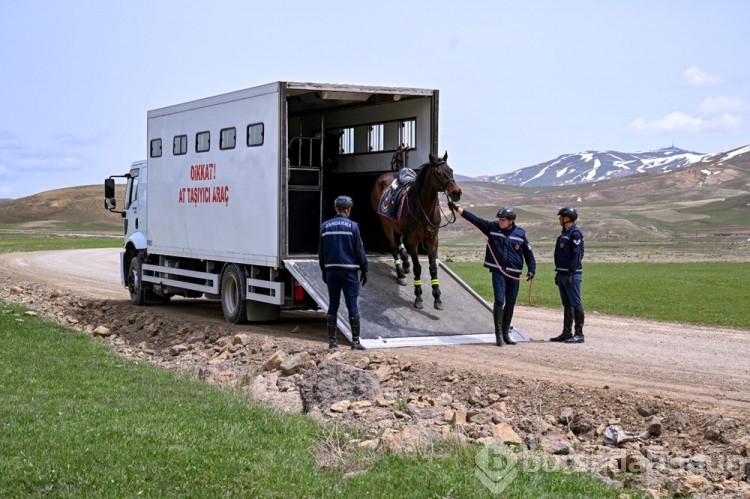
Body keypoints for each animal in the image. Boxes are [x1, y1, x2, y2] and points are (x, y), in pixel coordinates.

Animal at [372, 150, 462, 310]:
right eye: (439, 173)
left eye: (451, 170)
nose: (456, 192)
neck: (423, 208)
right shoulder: (413, 241)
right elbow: (418, 268)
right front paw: (418, 297)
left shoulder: (433, 239)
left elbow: (433, 268)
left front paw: (437, 298)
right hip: (386, 224)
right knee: (393, 246)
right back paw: (401, 274)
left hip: (397, 225)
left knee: (399, 240)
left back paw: (405, 264)